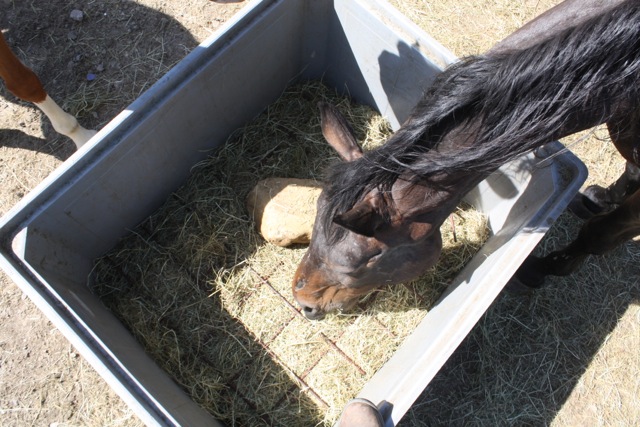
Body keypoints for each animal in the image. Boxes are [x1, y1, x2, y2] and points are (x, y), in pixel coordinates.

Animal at [292, 0, 640, 320]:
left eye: (359, 264)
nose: (304, 303)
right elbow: (632, 170)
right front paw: (599, 198)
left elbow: (600, 233)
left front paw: (539, 269)